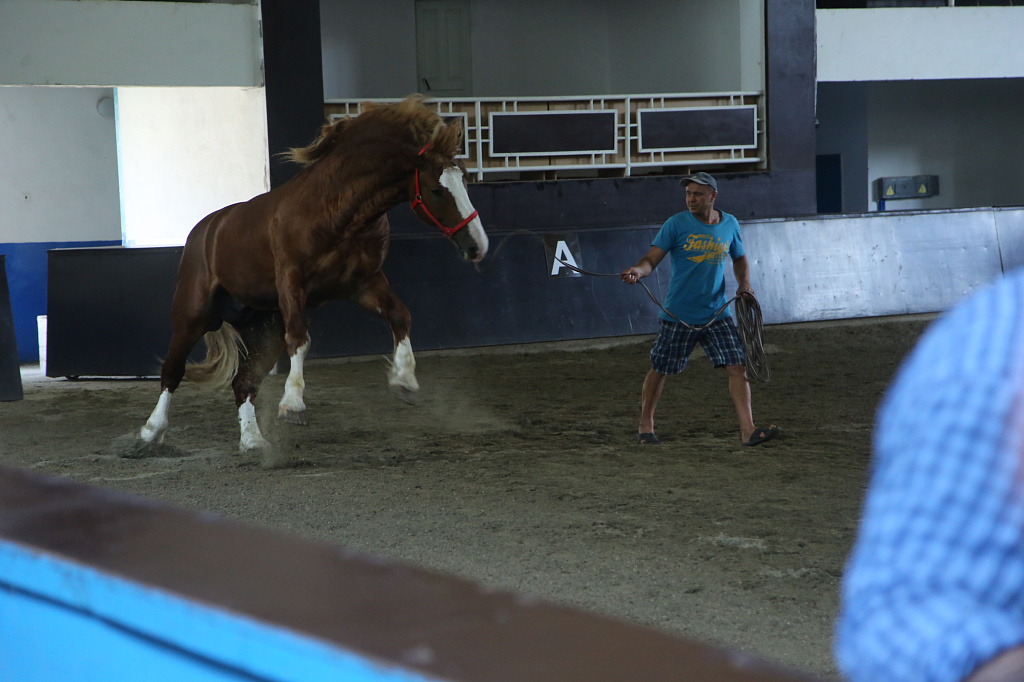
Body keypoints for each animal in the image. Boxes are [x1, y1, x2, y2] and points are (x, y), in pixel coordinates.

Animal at [135, 95, 487, 456]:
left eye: (466, 180)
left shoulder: (364, 282)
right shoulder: (292, 283)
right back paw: (150, 432)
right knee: (173, 372)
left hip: (263, 329)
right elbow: (300, 339)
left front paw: (404, 381)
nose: (477, 246)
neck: (336, 211)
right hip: (193, 316)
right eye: (436, 189)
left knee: (243, 382)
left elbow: (400, 316)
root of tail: (205, 230)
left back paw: (253, 440)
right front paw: (293, 404)